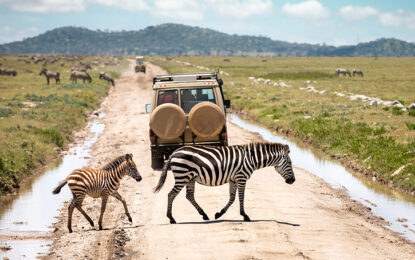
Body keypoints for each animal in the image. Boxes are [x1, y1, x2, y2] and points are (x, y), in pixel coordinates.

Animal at [155, 142, 296, 223]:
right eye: (289, 163)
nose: (293, 181)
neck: (251, 159)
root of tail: (174, 152)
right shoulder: (241, 177)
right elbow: (241, 197)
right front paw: (245, 216)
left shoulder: (233, 180)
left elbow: (232, 198)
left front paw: (219, 214)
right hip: (182, 176)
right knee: (171, 194)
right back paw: (171, 218)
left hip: (189, 178)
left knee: (189, 196)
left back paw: (204, 215)